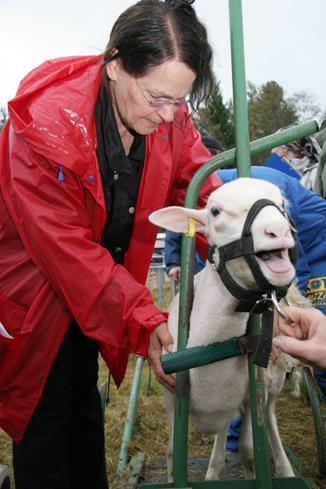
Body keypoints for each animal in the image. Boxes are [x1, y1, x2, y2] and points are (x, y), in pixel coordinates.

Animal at [150, 178, 298, 480]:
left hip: (272, 383)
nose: (278, 230)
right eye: (215, 211)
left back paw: (285, 468)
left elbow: (249, 451)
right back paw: (213, 469)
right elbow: (171, 452)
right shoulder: (171, 397)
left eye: (281, 203)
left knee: (270, 416)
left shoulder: (251, 396)